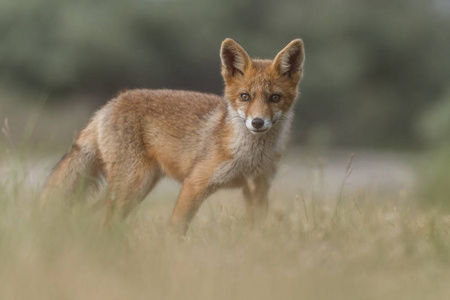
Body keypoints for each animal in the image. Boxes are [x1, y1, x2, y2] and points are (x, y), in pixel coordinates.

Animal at [41, 38, 306, 234]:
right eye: (245, 97)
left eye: (275, 98)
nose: (257, 122)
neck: (250, 157)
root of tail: (110, 103)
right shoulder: (195, 183)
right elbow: (175, 229)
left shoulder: (257, 189)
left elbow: (257, 231)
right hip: (132, 185)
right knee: (105, 221)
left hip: (138, 187)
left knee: (92, 215)